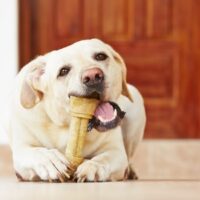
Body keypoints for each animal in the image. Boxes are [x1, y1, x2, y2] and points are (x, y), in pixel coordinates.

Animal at [5, 38, 145, 181]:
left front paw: (93, 166)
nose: (93, 76)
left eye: (100, 56)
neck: (67, 124)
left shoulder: (116, 151)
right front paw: (50, 160)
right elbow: (36, 152)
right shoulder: (21, 152)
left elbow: (104, 158)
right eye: (63, 71)